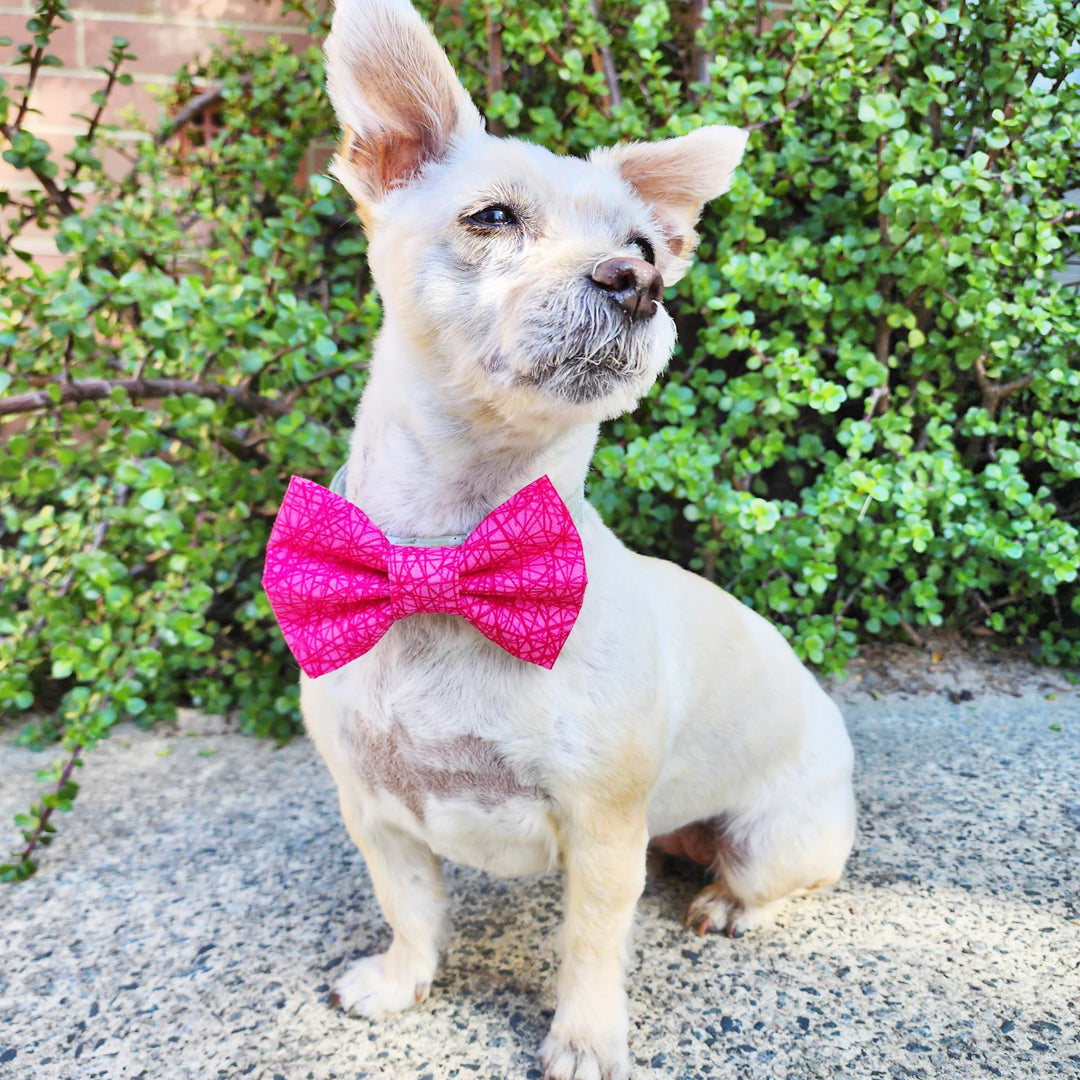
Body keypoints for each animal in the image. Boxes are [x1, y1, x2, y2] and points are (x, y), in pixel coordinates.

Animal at [291, 4, 855, 1075]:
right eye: (491, 218)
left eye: (643, 242)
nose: (638, 280)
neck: (450, 555)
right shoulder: (374, 813)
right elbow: (411, 909)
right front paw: (401, 982)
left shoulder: (602, 831)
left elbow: (590, 945)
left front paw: (586, 1039)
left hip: (778, 837)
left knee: (775, 883)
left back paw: (727, 905)